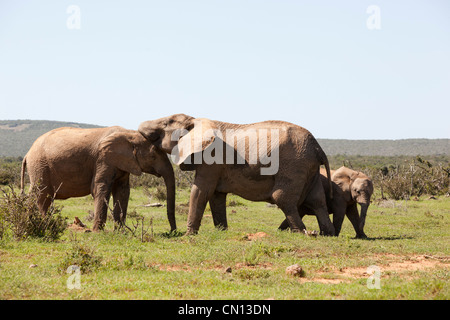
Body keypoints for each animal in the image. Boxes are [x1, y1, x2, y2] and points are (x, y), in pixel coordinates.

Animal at [21, 125, 176, 232]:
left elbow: (122, 191)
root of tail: (27, 154)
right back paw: (44, 225)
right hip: (40, 166)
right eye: (153, 156)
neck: (129, 133)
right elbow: (100, 188)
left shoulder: (124, 162)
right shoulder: (103, 159)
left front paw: (120, 232)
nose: (172, 232)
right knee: (42, 195)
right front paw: (97, 232)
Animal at [139, 113, 336, 235]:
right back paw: (327, 234)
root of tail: (318, 148)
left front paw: (188, 236)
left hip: (294, 166)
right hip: (311, 170)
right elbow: (216, 196)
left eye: (167, 123)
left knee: (283, 198)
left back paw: (304, 233)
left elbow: (201, 191)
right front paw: (221, 232)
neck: (196, 121)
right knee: (318, 201)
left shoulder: (211, 158)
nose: (173, 231)